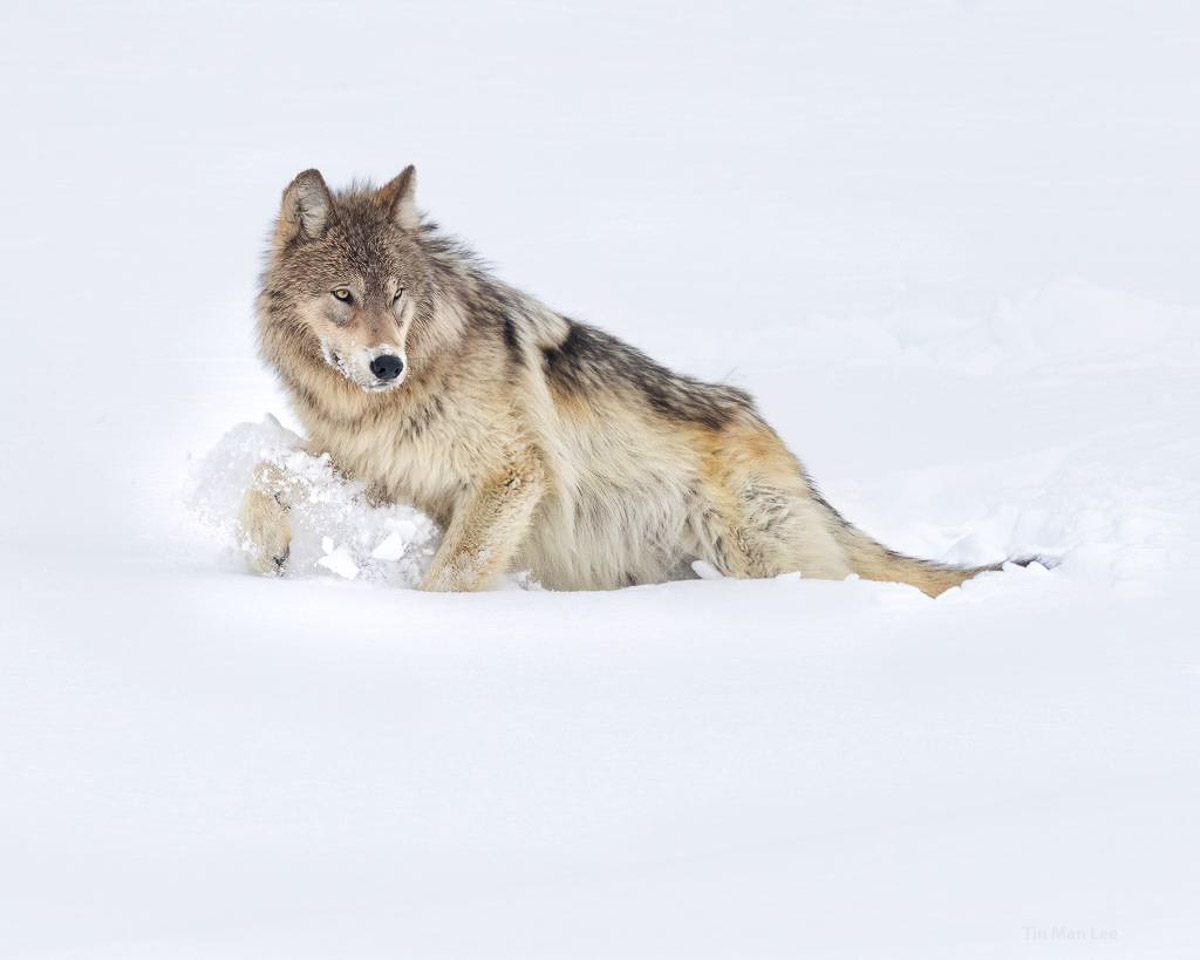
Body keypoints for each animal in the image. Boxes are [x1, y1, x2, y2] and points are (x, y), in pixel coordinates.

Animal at [238, 169, 1017, 595]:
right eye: (344, 297)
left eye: (397, 296)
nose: (385, 365)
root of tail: (778, 444)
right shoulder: (375, 475)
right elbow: (268, 469)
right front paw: (265, 550)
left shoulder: (511, 475)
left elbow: (450, 576)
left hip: (760, 554)